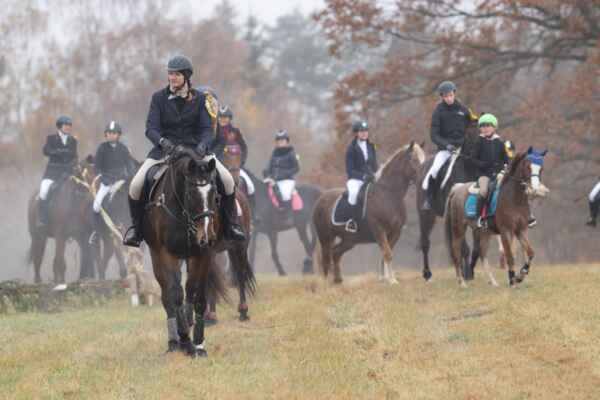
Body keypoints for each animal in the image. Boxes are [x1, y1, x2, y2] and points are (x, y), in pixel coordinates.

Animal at [144, 148, 255, 356]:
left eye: (214, 194)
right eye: (190, 193)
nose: (206, 235)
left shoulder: (204, 254)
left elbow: (200, 293)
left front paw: (198, 343)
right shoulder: (166, 255)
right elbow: (176, 295)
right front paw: (184, 340)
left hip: (239, 247)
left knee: (239, 274)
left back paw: (243, 310)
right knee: (171, 294)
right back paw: (176, 339)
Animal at [312, 142, 424, 282]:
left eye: (423, 159)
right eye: (414, 160)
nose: (424, 179)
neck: (388, 195)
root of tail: (321, 199)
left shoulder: (395, 232)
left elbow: (386, 254)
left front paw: (385, 279)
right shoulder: (379, 229)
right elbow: (387, 253)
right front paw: (392, 280)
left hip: (349, 240)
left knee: (336, 253)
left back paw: (338, 280)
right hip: (326, 237)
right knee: (326, 257)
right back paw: (325, 282)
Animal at [414, 122, 480, 282]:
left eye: (480, 134)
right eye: (468, 135)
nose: (475, 157)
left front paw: (468, 272)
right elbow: (463, 246)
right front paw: (467, 273)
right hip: (425, 215)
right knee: (425, 243)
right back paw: (427, 273)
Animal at [446, 148, 548, 286]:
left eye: (541, 168)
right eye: (528, 166)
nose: (535, 189)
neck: (515, 199)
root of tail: (457, 188)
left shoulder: (520, 230)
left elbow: (530, 253)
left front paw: (520, 275)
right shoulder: (506, 230)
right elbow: (509, 255)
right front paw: (512, 280)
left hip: (484, 232)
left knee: (482, 253)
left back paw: (493, 282)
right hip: (459, 228)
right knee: (456, 250)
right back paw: (462, 282)